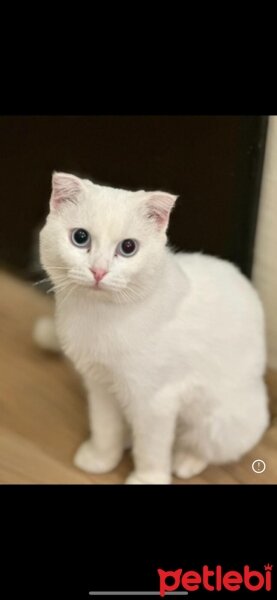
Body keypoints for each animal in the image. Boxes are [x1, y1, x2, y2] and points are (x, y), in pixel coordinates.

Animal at [36, 171, 268, 480]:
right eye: (80, 237)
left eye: (128, 247)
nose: (99, 271)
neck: (100, 315)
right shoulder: (100, 385)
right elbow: (105, 428)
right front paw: (101, 459)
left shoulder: (155, 401)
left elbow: (151, 447)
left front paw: (147, 478)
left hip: (218, 423)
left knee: (203, 447)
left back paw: (185, 461)